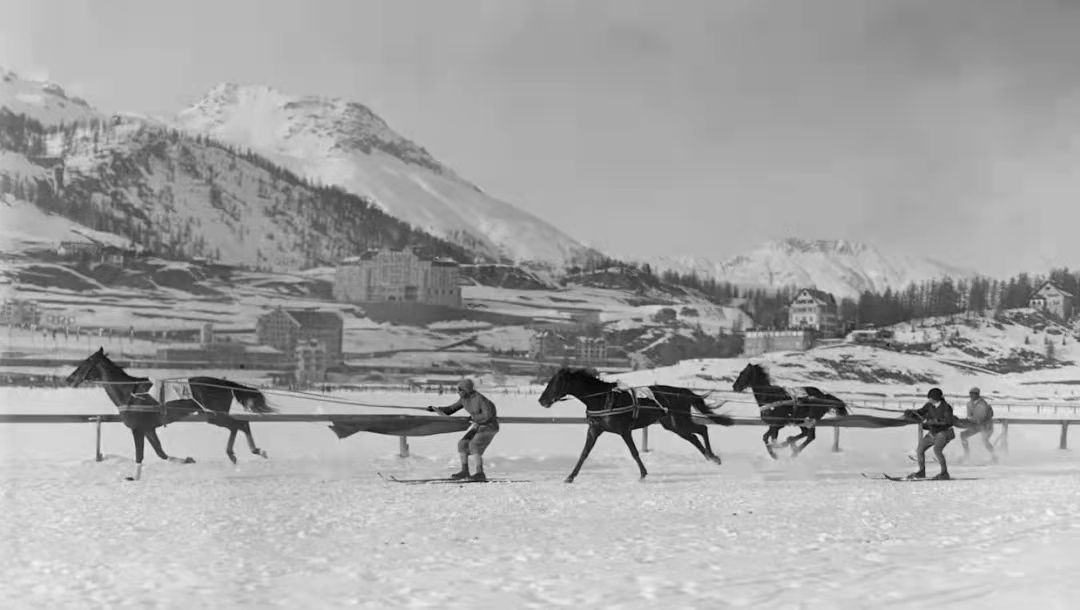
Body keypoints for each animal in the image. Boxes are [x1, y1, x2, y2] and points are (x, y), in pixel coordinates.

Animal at [64, 345, 274, 477]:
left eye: (86, 362)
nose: (68, 379)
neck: (129, 392)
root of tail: (224, 383)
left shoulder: (137, 428)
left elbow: (140, 455)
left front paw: (134, 477)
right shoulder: (149, 428)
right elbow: (161, 453)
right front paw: (187, 460)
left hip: (213, 414)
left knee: (241, 424)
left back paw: (256, 450)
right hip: (212, 415)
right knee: (236, 426)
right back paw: (234, 453)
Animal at [537, 364, 734, 483]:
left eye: (556, 382)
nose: (541, 400)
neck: (603, 399)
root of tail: (683, 392)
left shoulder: (624, 431)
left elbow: (634, 452)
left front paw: (643, 474)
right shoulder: (594, 430)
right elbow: (584, 453)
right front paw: (570, 477)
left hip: (680, 421)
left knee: (702, 429)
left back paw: (713, 457)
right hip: (673, 425)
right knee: (694, 436)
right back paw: (710, 457)